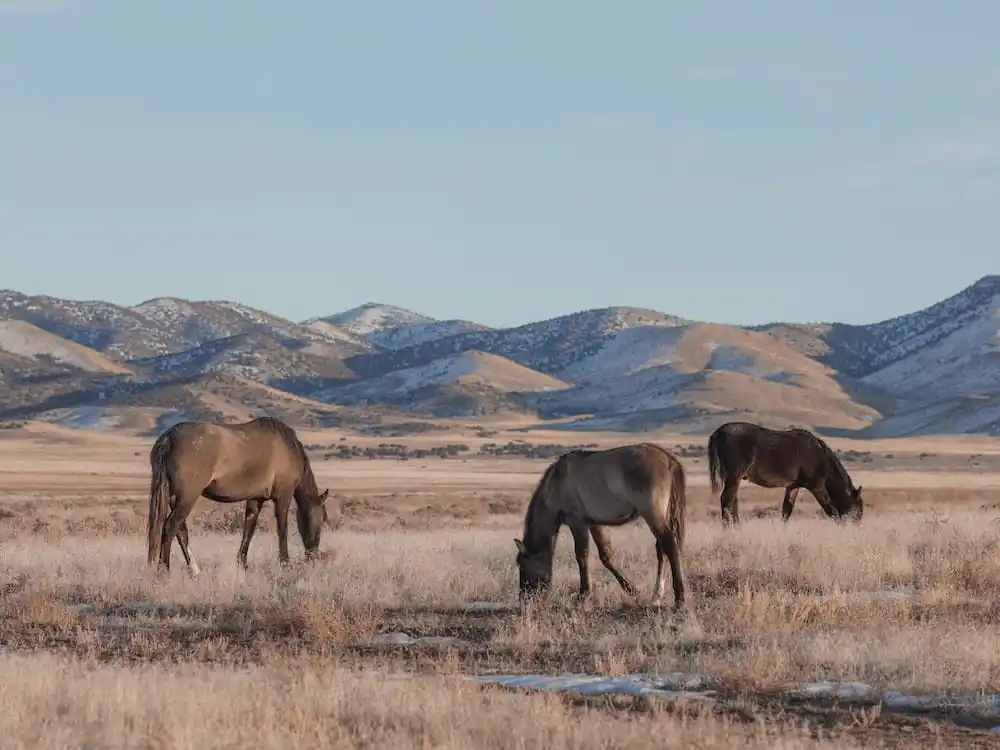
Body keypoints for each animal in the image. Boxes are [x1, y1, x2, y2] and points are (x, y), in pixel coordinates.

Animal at [146, 416, 331, 573]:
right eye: (322, 519)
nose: (313, 554)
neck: (288, 448)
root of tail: (168, 438)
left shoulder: (256, 499)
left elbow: (249, 529)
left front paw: (242, 563)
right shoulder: (283, 496)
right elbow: (282, 529)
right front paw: (285, 562)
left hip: (174, 498)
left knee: (180, 532)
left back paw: (195, 570)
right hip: (187, 497)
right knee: (170, 528)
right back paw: (164, 570)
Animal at [513, 443, 688, 610]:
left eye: (523, 565)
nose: (525, 601)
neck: (557, 482)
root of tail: (668, 459)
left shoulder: (578, 523)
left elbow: (582, 556)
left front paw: (583, 596)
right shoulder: (594, 524)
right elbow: (606, 555)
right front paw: (631, 589)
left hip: (653, 515)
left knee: (670, 546)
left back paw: (679, 599)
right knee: (662, 549)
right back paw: (657, 596)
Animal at [706, 421, 863, 526]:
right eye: (858, 509)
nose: (857, 525)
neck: (820, 455)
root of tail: (718, 433)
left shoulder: (793, 487)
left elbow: (786, 511)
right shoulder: (816, 486)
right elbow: (831, 510)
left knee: (732, 502)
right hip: (734, 478)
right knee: (727, 500)